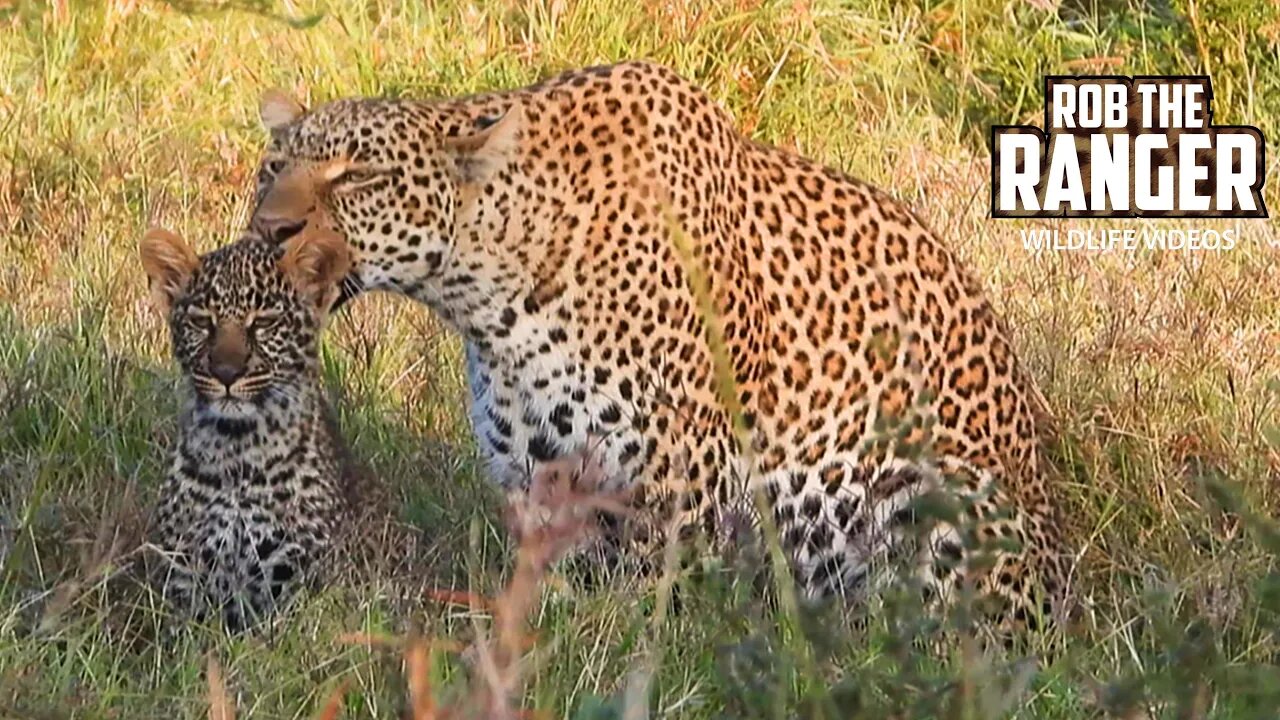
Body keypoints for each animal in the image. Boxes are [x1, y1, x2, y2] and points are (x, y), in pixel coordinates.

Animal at [249, 58, 1070, 625]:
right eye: (273, 167)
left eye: (359, 177)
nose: (271, 228)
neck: (488, 299)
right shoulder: (539, 477)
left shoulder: (680, 475)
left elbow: (650, 610)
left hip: (935, 499)